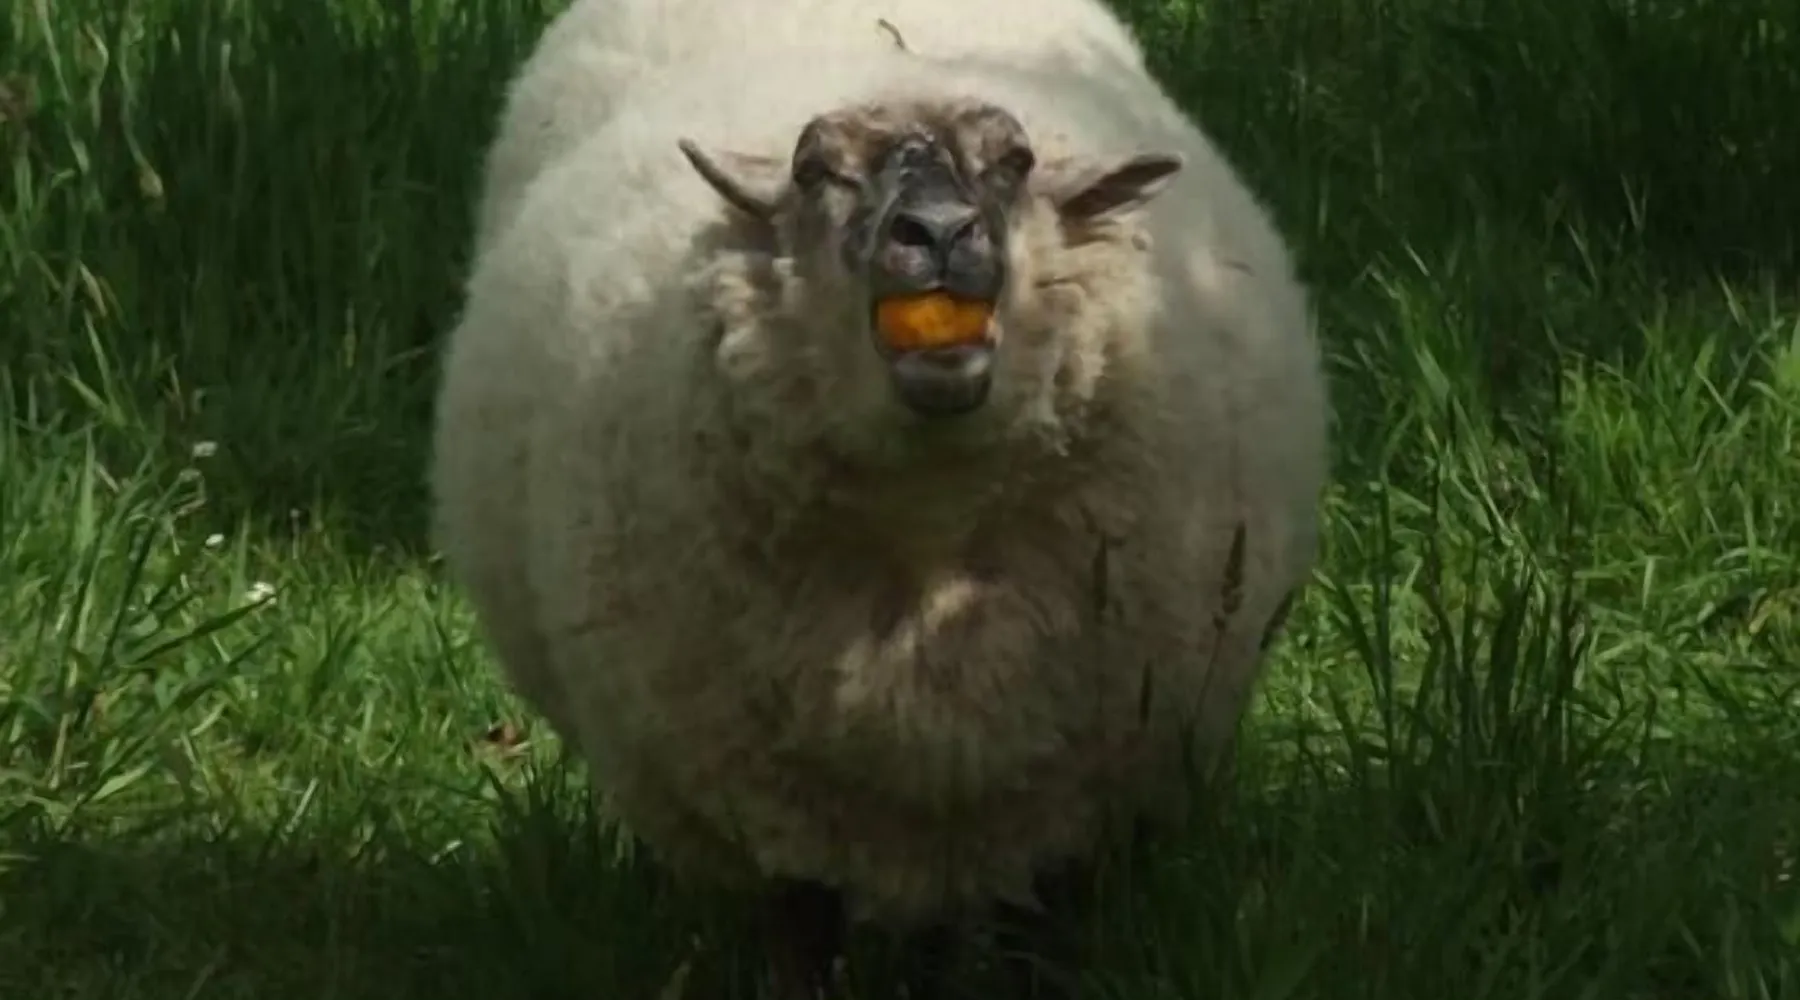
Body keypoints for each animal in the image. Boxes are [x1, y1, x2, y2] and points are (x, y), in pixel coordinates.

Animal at [431, 30, 1328, 1000]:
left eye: (1014, 164)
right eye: (814, 169)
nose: (937, 233)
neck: (929, 547)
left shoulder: (1067, 808)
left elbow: (1025, 941)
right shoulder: (762, 820)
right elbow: (798, 940)